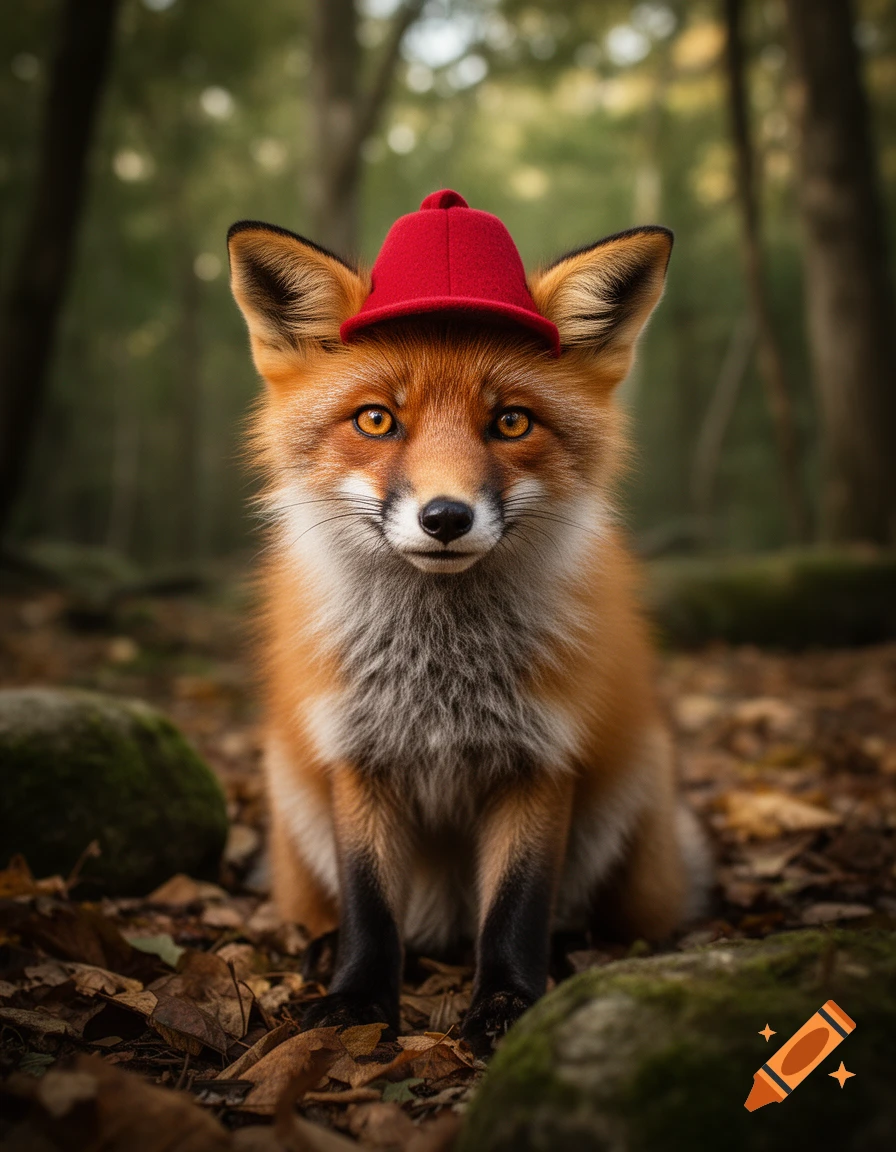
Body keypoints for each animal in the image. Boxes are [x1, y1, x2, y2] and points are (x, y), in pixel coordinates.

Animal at [227, 191, 708, 1056]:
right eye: (376, 420)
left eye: (511, 423)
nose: (445, 517)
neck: (440, 679)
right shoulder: (358, 753)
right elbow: (370, 907)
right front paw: (356, 1003)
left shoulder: (541, 755)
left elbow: (516, 908)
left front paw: (511, 1006)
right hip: (292, 792)